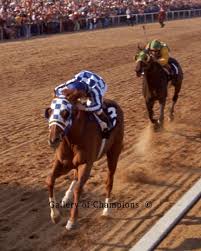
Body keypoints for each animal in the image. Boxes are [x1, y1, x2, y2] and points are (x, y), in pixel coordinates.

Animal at [44, 97, 124, 230]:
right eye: (49, 113)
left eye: (65, 114)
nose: (53, 140)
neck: (73, 138)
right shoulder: (63, 163)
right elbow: (50, 180)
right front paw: (55, 215)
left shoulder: (86, 164)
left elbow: (78, 189)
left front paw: (72, 220)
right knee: (75, 176)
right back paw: (66, 197)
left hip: (114, 152)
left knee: (109, 181)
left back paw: (106, 211)